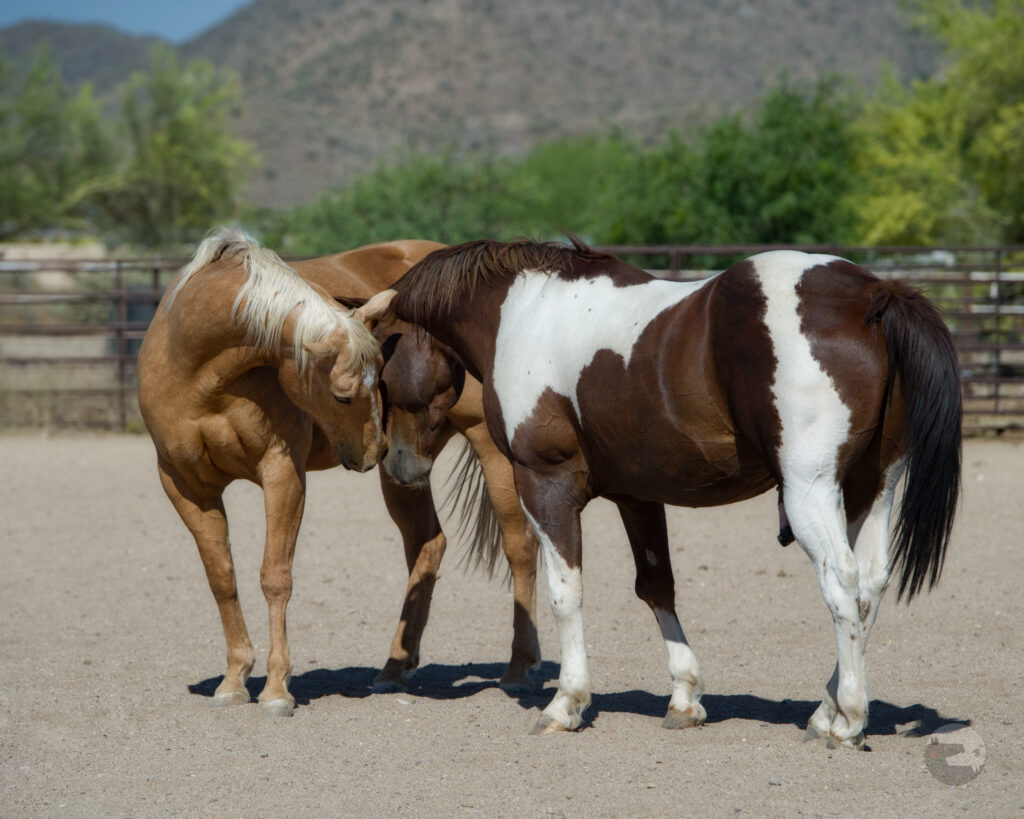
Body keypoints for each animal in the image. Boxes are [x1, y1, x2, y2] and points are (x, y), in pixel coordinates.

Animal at [138, 229, 539, 716]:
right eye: (343, 395)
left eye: (379, 377)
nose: (373, 449)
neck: (196, 370)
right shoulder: (186, 486)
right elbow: (222, 578)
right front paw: (234, 680)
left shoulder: (283, 474)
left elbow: (275, 577)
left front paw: (277, 689)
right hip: (407, 467)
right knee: (427, 544)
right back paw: (394, 669)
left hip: (486, 450)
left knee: (520, 546)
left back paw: (518, 670)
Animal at [363, 237, 963, 749]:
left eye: (382, 372)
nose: (397, 462)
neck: (523, 313)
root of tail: (874, 295)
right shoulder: (638, 496)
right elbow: (657, 588)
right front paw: (684, 697)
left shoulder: (545, 483)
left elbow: (565, 592)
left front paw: (566, 703)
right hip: (871, 487)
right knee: (870, 585)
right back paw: (826, 711)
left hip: (810, 490)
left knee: (841, 581)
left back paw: (850, 719)